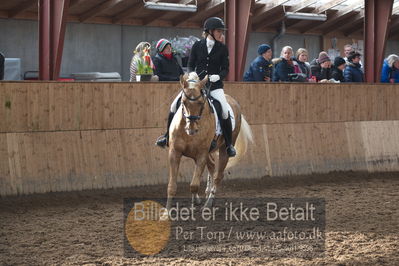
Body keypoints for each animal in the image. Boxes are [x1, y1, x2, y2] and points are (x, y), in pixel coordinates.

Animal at [165, 71, 253, 211]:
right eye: (183, 102)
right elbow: (172, 186)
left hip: (224, 150)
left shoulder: (201, 154)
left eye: (201, 103)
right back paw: (205, 196)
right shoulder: (175, 153)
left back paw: (209, 202)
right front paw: (166, 212)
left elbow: (194, 185)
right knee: (211, 166)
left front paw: (192, 207)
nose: (191, 129)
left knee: (218, 175)